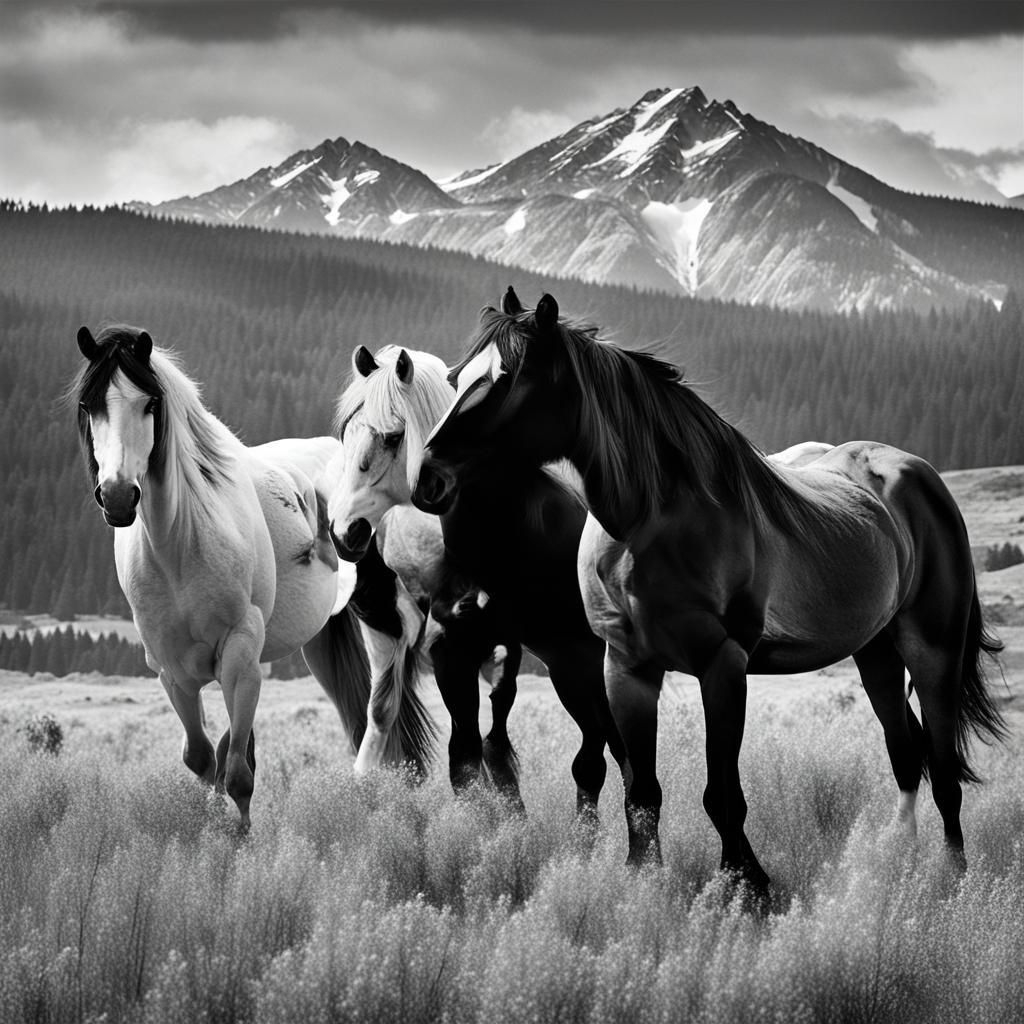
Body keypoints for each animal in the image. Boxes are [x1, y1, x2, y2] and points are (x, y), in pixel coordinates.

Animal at [72, 324, 435, 827]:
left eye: (150, 404)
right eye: (90, 406)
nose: (118, 496)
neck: (181, 547)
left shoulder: (241, 661)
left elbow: (239, 772)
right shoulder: (171, 672)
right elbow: (203, 759)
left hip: (377, 613)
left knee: (382, 704)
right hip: (321, 644)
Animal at [327, 341, 628, 820]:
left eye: (393, 437)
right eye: (345, 434)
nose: (344, 532)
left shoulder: (487, 648)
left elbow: (480, 748)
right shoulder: (441, 646)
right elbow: (464, 750)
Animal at [413, 287, 1006, 900]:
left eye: (509, 377)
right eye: (456, 377)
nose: (428, 479)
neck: (650, 523)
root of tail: (918, 475)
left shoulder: (722, 665)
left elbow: (722, 795)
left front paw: (749, 887)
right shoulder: (625, 669)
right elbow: (642, 793)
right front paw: (643, 882)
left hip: (933, 649)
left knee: (944, 770)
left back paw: (954, 880)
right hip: (875, 651)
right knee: (906, 754)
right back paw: (900, 866)